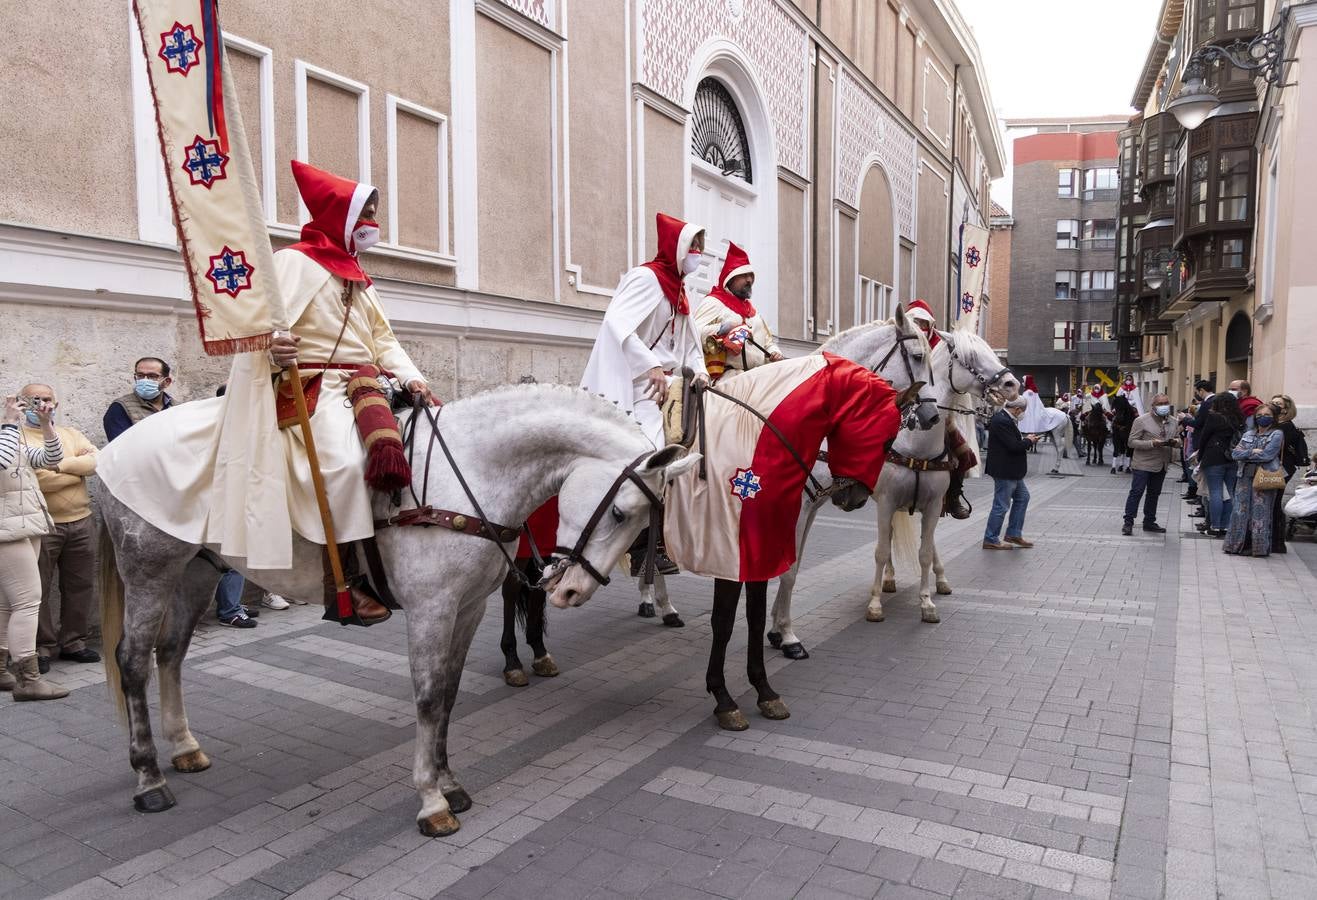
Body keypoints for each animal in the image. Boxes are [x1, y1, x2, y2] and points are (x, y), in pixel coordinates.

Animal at [629, 309, 937, 627]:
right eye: (917, 356)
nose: (931, 415)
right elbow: (785, 570)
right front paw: (785, 630)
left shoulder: (809, 505)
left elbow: (794, 565)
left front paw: (779, 625)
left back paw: (662, 603)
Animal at [769, 330, 1011, 653]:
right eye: (968, 356)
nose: (1011, 385)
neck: (915, 444)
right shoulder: (885, 501)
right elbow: (881, 551)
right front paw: (875, 605)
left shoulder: (932, 505)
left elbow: (924, 552)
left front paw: (927, 604)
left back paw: (939, 579)